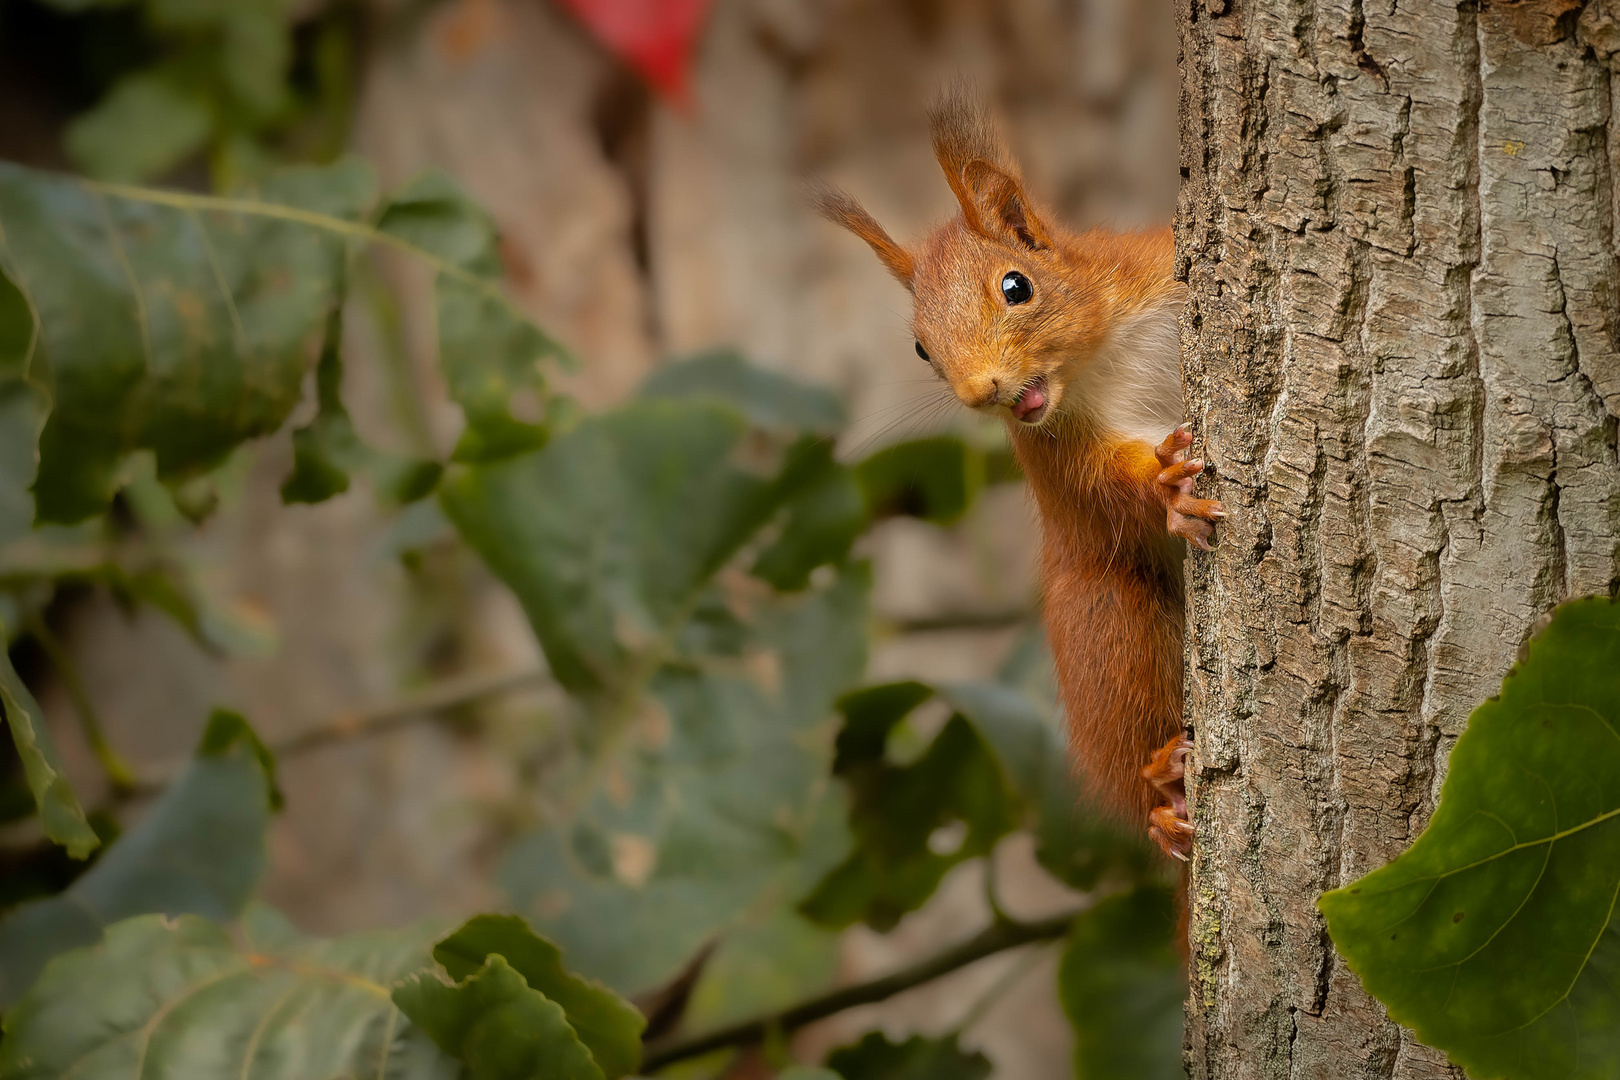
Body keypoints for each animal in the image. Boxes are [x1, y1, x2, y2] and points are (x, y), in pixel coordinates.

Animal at [816, 88, 1218, 861]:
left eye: (1016, 285)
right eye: (921, 348)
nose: (982, 393)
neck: (1096, 358)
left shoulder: (1156, 281)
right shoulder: (1058, 451)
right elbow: (1106, 490)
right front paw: (1167, 490)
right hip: (1104, 618)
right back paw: (1164, 787)